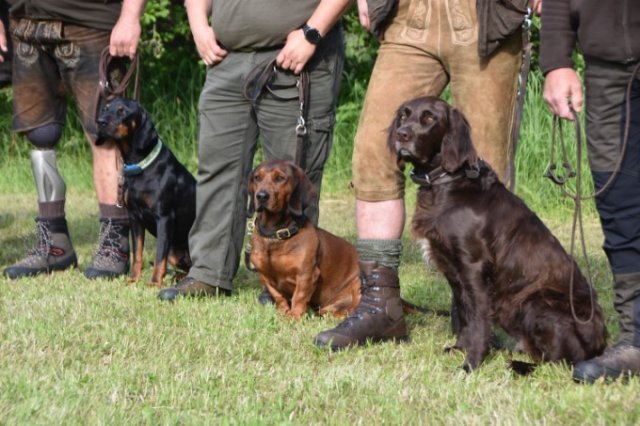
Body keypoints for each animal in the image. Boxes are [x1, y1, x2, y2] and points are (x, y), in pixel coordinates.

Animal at [95, 98, 195, 288]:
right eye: (105, 108)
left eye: (122, 111)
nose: (100, 122)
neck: (140, 165)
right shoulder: (135, 217)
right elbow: (137, 253)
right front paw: (133, 279)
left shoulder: (164, 217)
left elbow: (159, 256)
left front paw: (154, 282)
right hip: (174, 252)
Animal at [248, 160, 362, 320]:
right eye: (257, 177)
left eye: (280, 178)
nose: (261, 196)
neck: (276, 233)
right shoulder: (265, 276)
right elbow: (278, 296)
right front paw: (283, 313)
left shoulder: (306, 275)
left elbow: (299, 297)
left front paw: (294, 317)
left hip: (359, 283)